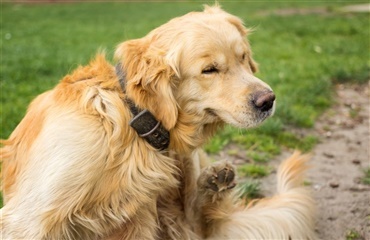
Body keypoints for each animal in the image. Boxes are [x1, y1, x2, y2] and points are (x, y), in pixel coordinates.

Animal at [0, 4, 316, 239]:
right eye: (209, 70)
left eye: (243, 58)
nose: (268, 100)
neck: (131, 116)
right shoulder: (28, 218)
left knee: (197, 224)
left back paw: (213, 183)